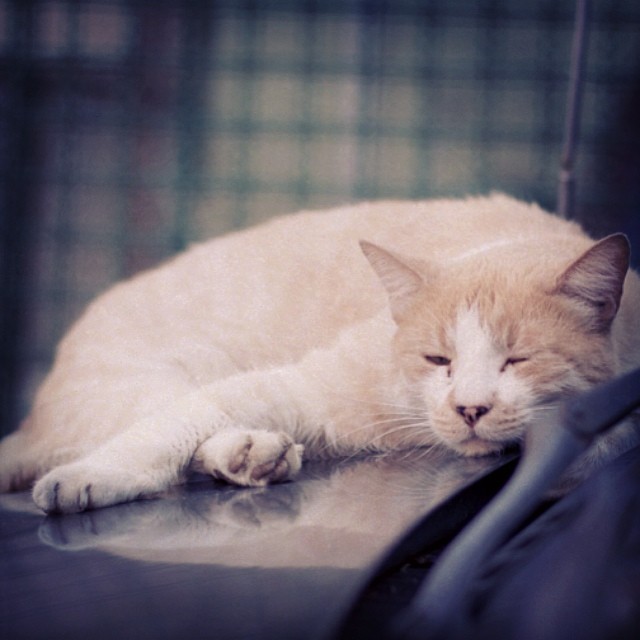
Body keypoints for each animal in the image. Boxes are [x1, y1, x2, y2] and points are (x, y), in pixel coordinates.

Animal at [1, 192, 640, 512]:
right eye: (439, 361)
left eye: (517, 360)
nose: (470, 408)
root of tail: (34, 415)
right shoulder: (301, 386)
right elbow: (166, 431)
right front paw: (87, 479)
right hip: (163, 375)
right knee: (167, 423)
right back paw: (251, 452)